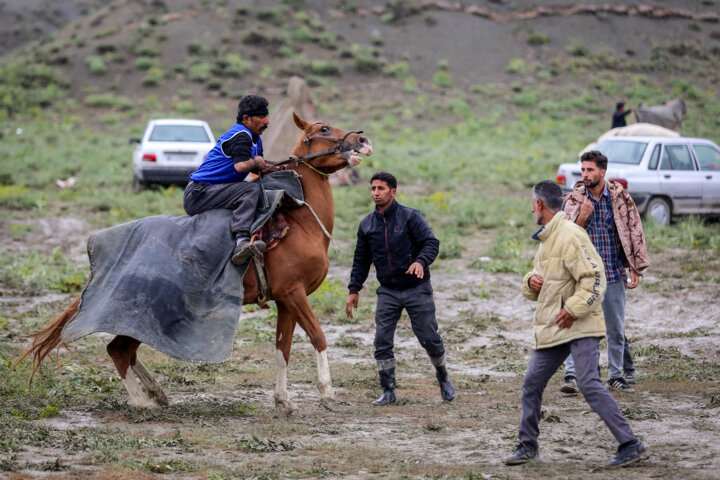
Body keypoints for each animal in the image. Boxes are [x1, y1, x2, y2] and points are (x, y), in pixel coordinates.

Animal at [16, 114, 374, 414]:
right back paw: (142, 402)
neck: (299, 222)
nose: (361, 140)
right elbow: (319, 337)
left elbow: (282, 349)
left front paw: (283, 400)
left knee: (123, 350)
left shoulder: (285, 300)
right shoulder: (294, 294)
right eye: (324, 128)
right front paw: (327, 394)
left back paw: (157, 392)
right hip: (141, 311)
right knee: (118, 350)